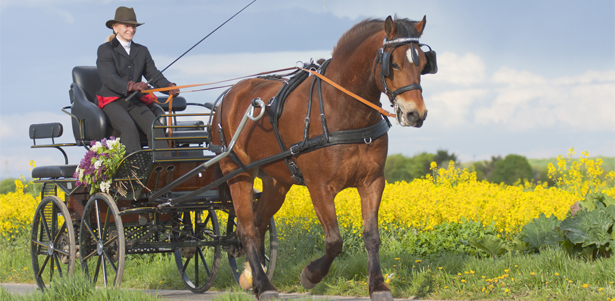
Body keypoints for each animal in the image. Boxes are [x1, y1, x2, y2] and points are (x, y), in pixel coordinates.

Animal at [211, 15, 434, 298]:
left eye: (424, 64)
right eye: (393, 63)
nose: (416, 114)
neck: (344, 110)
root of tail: (229, 95)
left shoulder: (372, 182)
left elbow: (371, 237)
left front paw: (377, 285)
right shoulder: (319, 187)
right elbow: (334, 241)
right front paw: (310, 275)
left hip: (276, 182)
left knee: (258, 224)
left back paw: (252, 278)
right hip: (238, 173)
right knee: (247, 229)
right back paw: (264, 285)